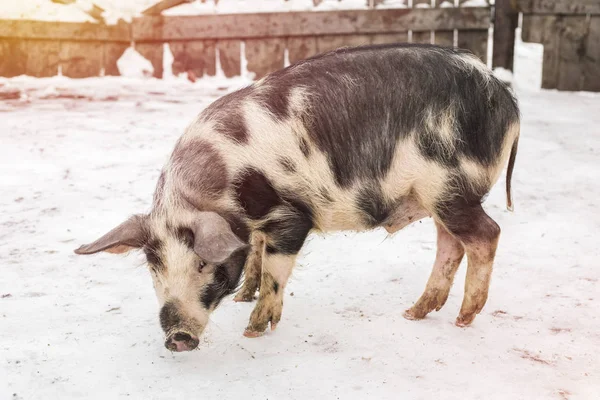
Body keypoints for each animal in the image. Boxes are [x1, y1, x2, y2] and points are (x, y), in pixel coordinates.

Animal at [75, 42, 516, 352]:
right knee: (450, 243)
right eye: (154, 267)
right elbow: (255, 255)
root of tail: (505, 97)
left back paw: (462, 318)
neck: (221, 189)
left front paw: (253, 330)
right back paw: (414, 313)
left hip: (450, 185)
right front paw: (244, 294)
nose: (176, 338)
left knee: (487, 234)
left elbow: (276, 265)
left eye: (203, 264)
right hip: (438, 195)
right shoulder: (252, 227)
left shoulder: (289, 216)